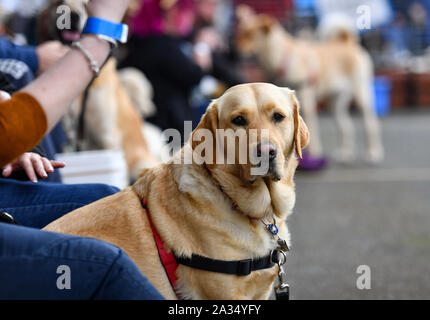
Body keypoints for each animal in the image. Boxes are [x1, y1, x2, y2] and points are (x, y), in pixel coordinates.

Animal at [237, 6, 384, 164]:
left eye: (250, 35)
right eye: (239, 33)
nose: (235, 49)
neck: (283, 56)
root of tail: (347, 42)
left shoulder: (306, 102)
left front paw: (313, 153)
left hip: (361, 96)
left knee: (371, 125)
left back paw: (373, 152)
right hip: (336, 104)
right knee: (346, 127)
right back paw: (345, 153)